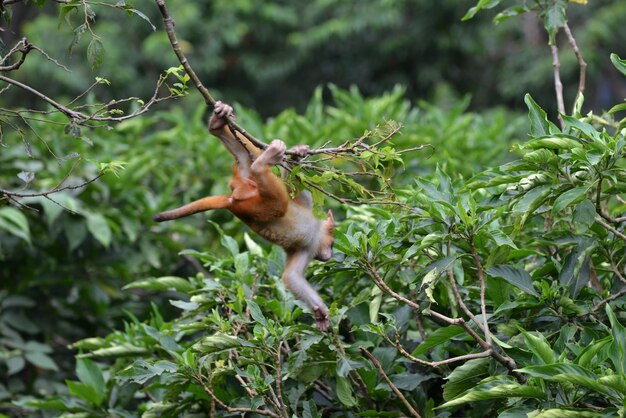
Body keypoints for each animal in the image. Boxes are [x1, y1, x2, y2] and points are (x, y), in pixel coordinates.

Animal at [153, 100, 334, 330]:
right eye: (332, 243)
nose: (329, 255)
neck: (317, 230)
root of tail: (232, 199)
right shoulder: (309, 246)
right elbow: (292, 278)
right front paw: (321, 311)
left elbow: (292, 186)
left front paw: (297, 155)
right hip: (261, 205)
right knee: (278, 203)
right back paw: (263, 161)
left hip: (246, 184)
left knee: (246, 157)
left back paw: (218, 124)